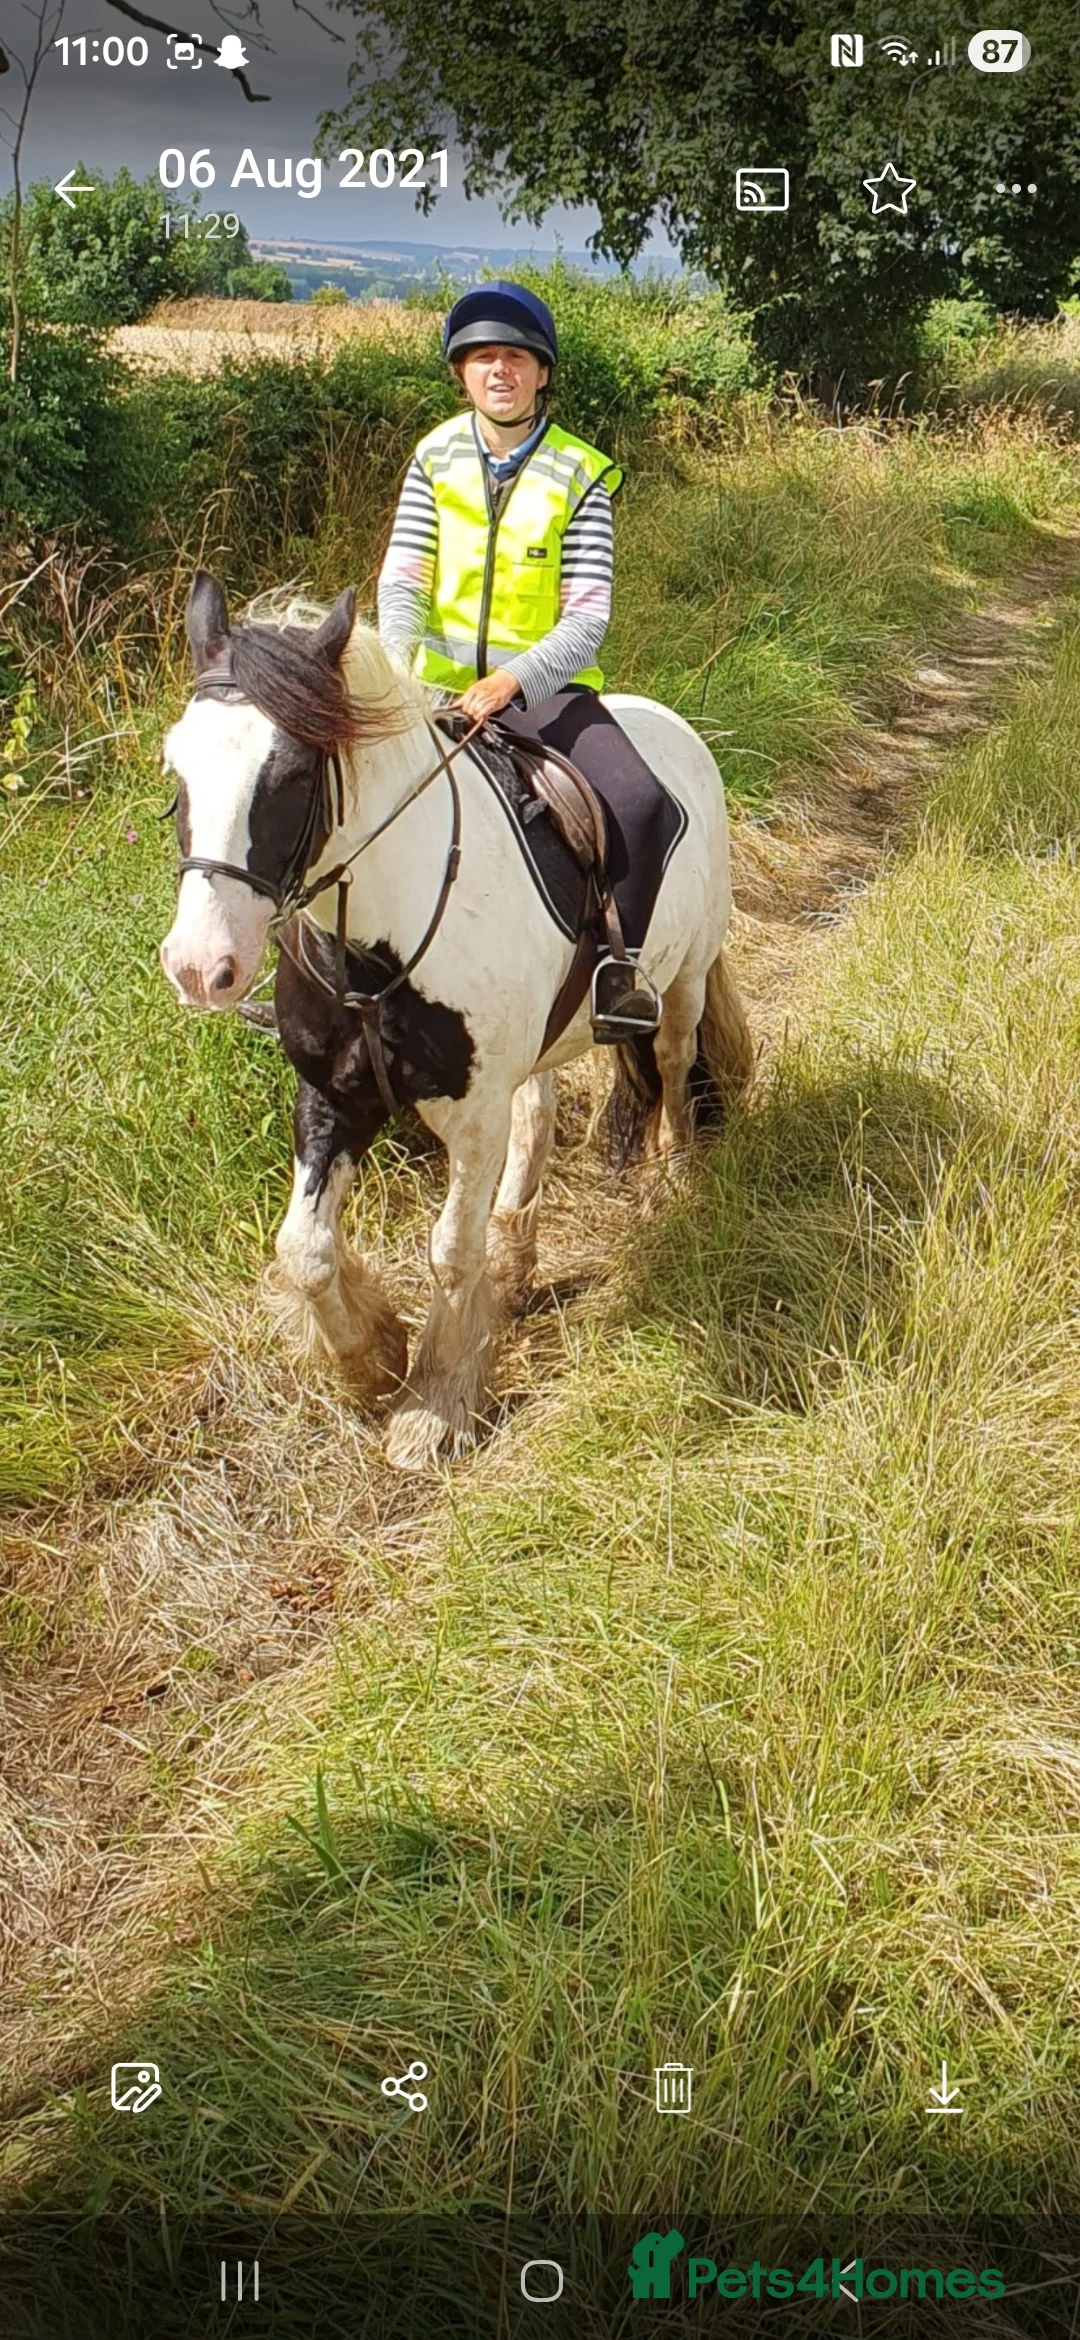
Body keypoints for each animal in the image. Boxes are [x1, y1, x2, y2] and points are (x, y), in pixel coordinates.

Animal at [159, 571, 752, 1470]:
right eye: (176, 763)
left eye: (289, 772)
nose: (201, 967)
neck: (377, 944)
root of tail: (673, 726)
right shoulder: (332, 1097)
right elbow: (303, 1252)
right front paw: (370, 1360)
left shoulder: (471, 1116)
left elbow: (448, 1250)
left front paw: (433, 1405)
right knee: (539, 1114)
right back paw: (514, 1262)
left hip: (682, 979)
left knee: (678, 1070)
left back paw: (674, 1184)